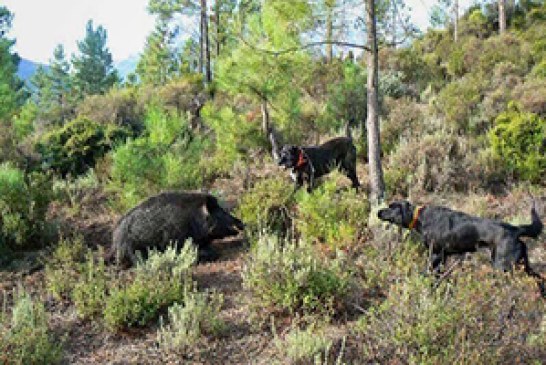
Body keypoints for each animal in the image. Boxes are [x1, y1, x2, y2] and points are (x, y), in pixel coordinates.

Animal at [376, 199, 540, 296]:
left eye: (391, 207)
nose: (378, 212)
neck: (420, 218)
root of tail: (515, 229)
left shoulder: (436, 254)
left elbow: (429, 273)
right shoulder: (443, 257)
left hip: (502, 266)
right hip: (523, 265)